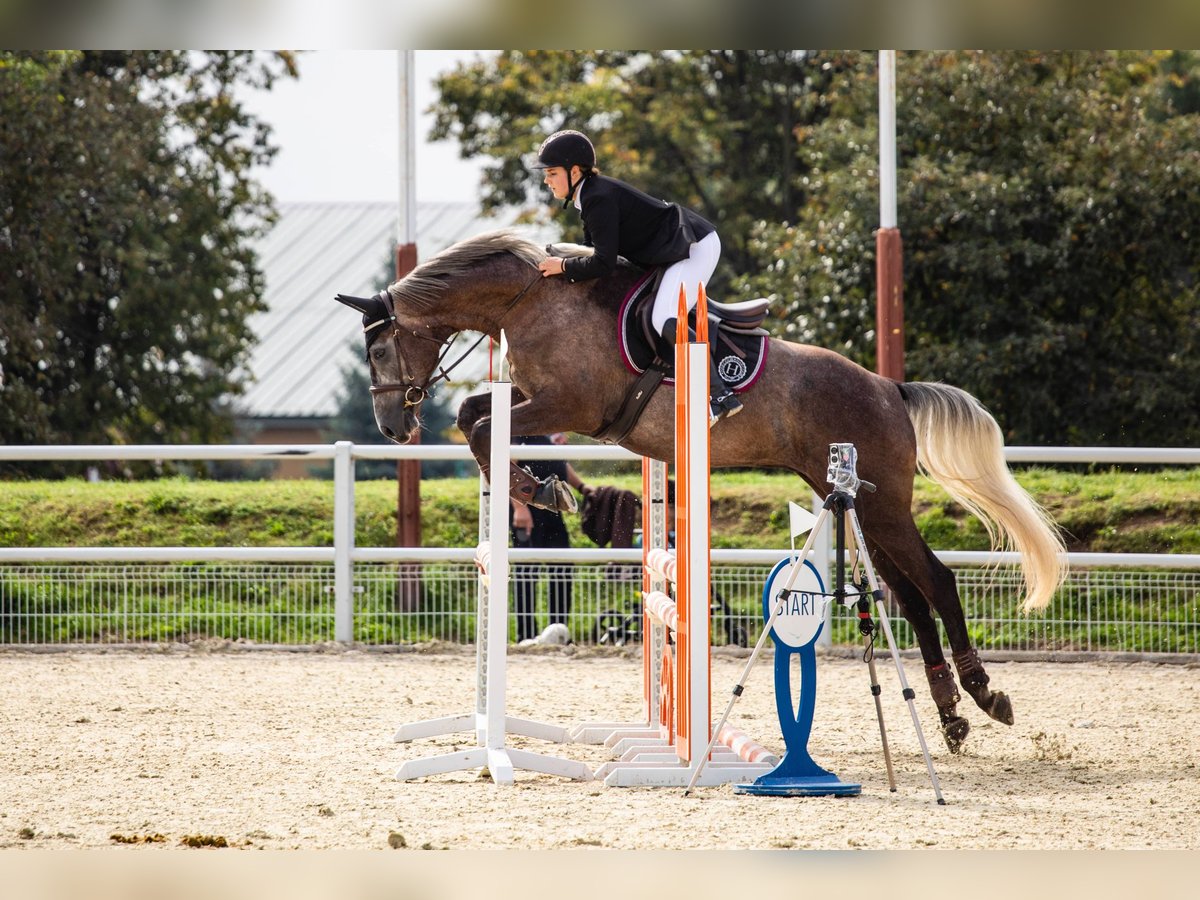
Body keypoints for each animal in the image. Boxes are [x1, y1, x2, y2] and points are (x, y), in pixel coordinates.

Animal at [333, 229, 1065, 748]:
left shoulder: (572, 405)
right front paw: (534, 487)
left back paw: (985, 695)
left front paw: (542, 492)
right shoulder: (539, 401)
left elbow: (484, 425)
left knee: (936, 582)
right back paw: (951, 717)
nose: (393, 426)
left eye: (378, 350)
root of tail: (889, 387)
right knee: (910, 599)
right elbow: (473, 415)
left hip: (882, 507)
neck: (530, 298)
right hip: (858, 500)